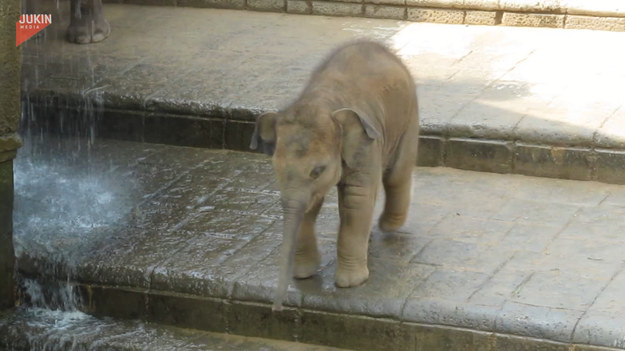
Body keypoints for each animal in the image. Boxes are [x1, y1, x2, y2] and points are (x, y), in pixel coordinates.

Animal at [250, 40, 420, 312]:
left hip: (408, 117)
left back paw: (389, 226)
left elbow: (356, 198)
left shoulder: (365, 145)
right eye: (275, 168)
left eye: (317, 170)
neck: (323, 101)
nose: (276, 309)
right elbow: (309, 204)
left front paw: (351, 284)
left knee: (397, 174)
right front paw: (304, 274)